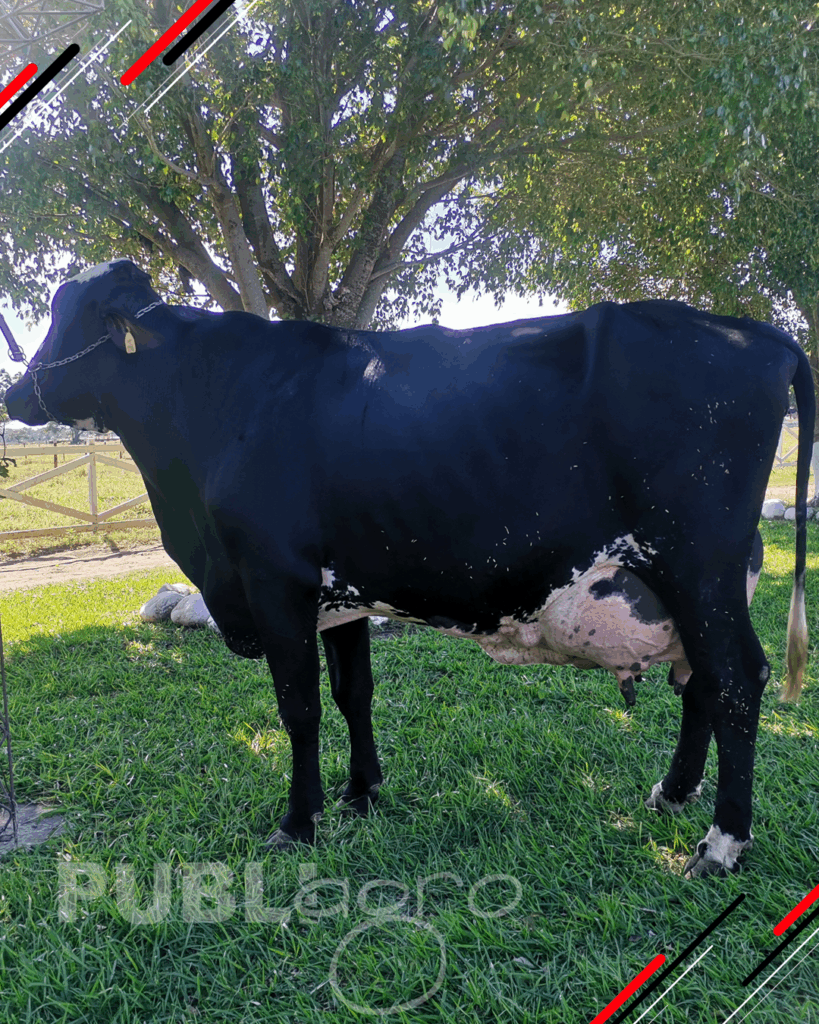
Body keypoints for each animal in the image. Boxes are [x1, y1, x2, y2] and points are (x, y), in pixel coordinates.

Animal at [5, 259, 813, 877]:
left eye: (73, 317)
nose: (15, 391)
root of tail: (752, 330)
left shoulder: (275, 583)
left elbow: (299, 709)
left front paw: (298, 822)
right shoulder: (340, 593)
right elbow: (351, 694)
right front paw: (362, 793)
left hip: (697, 566)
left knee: (736, 680)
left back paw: (721, 843)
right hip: (696, 584)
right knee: (699, 683)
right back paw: (672, 793)